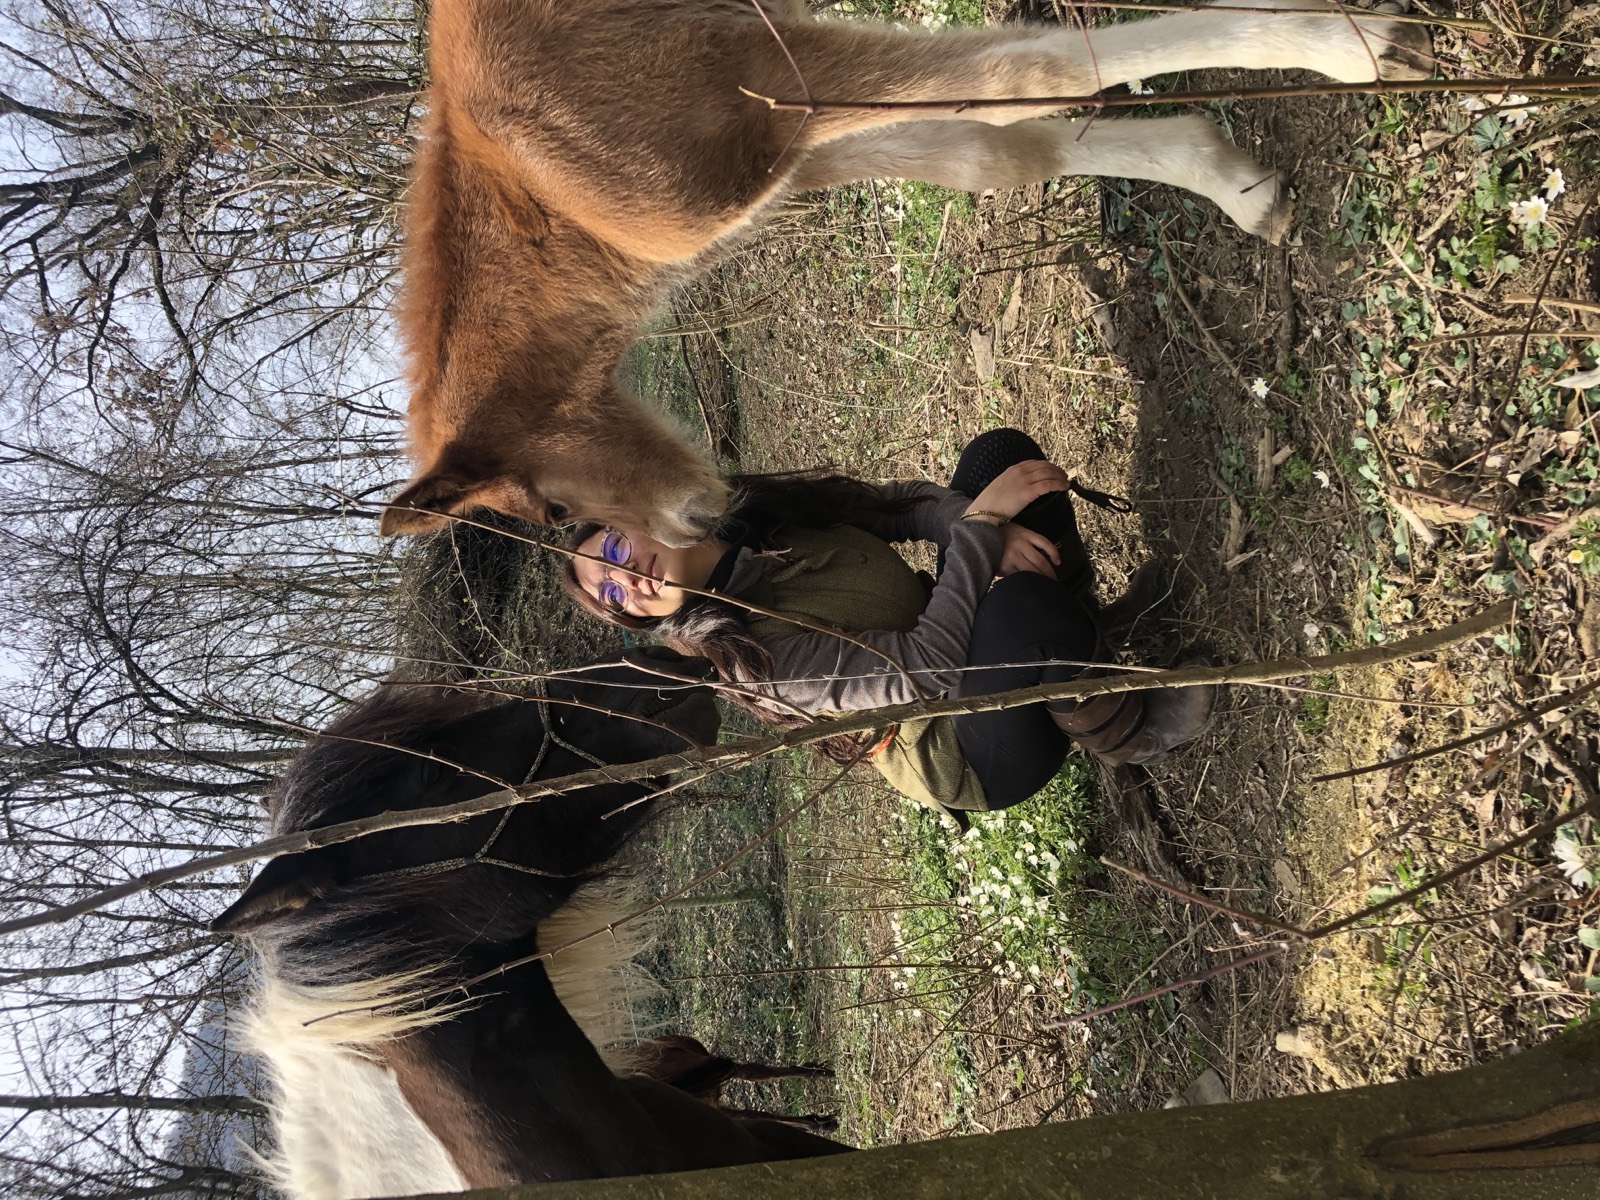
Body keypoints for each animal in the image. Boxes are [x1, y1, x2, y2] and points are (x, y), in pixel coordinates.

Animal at [378, 0, 1432, 547]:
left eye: (553, 510)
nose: (700, 527)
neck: (549, 195)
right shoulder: (792, 151)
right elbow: (1001, 152)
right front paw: (1236, 183)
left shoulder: (769, 77)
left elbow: (1029, 75)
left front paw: (1352, 46)